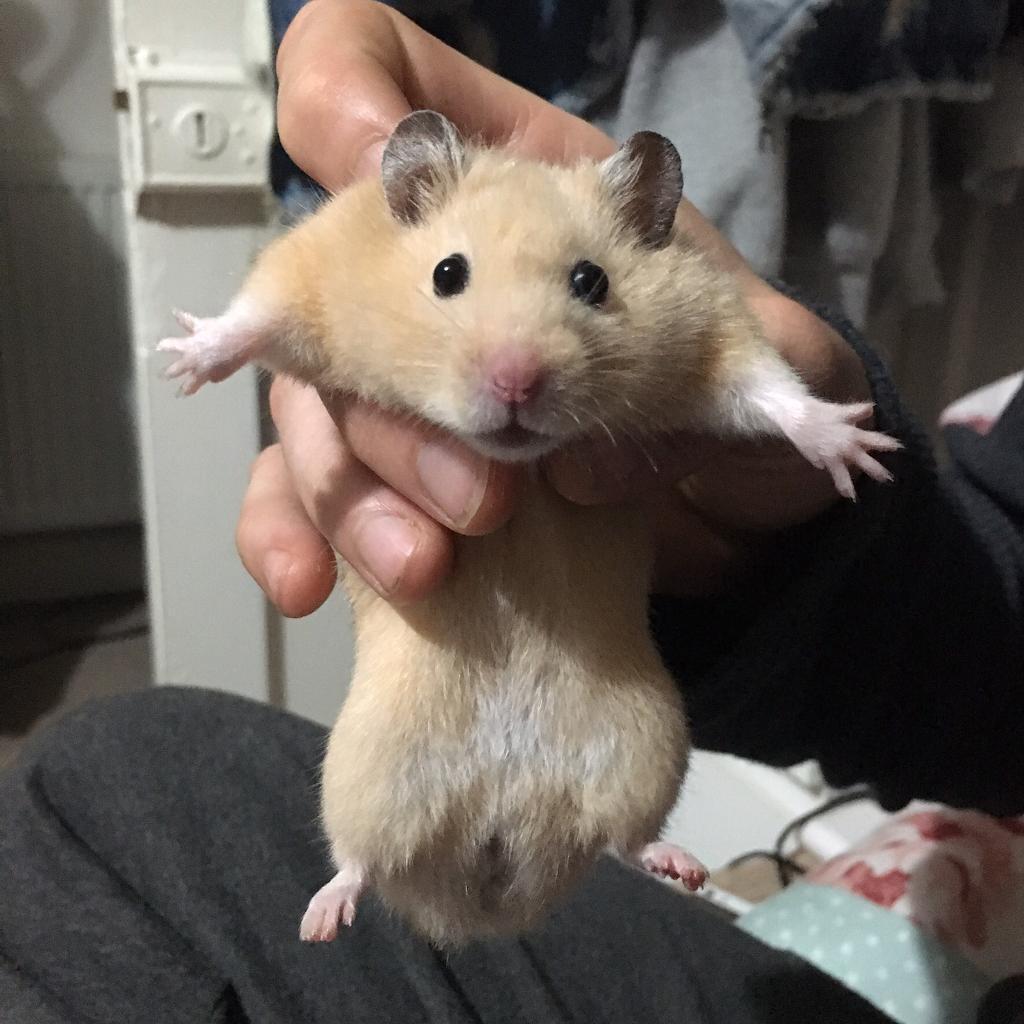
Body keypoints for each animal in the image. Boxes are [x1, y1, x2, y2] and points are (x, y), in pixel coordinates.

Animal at [158, 110, 898, 947]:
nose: (516, 382)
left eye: (591, 281)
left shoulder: (718, 334)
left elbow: (771, 392)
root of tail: (494, 870)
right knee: (362, 859)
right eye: (448, 273)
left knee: (626, 838)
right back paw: (320, 924)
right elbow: (256, 320)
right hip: (365, 772)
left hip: (647, 748)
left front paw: (862, 452)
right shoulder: (307, 271)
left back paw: (685, 868)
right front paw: (180, 361)